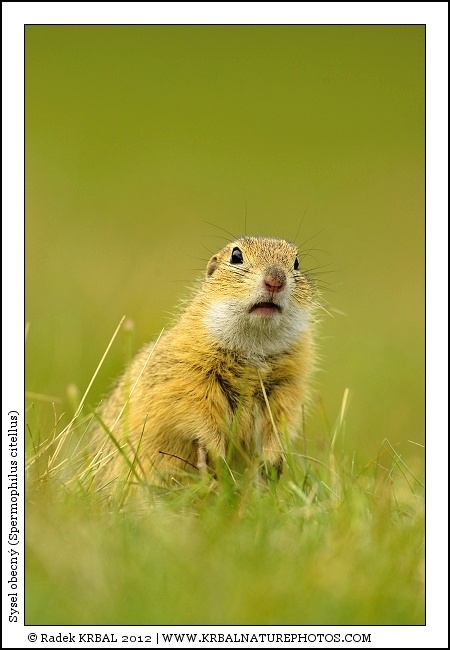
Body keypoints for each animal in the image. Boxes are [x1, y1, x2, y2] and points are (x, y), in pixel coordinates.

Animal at [92, 235, 317, 488]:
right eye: (236, 256)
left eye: (296, 263)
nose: (275, 280)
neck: (254, 347)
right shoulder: (191, 379)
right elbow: (200, 419)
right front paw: (216, 460)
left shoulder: (287, 387)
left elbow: (280, 424)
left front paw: (271, 464)